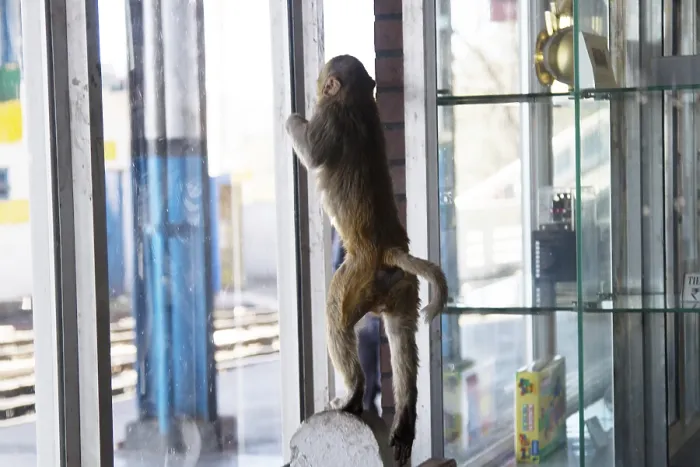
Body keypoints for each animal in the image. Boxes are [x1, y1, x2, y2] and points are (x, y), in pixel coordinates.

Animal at [284, 54, 448, 466]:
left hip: (355, 278)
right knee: (402, 337)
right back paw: (404, 420)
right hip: (401, 287)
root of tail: (389, 251)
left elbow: (312, 150)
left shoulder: (330, 116)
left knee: (337, 317)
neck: (355, 100)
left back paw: (353, 394)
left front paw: (292, 119)